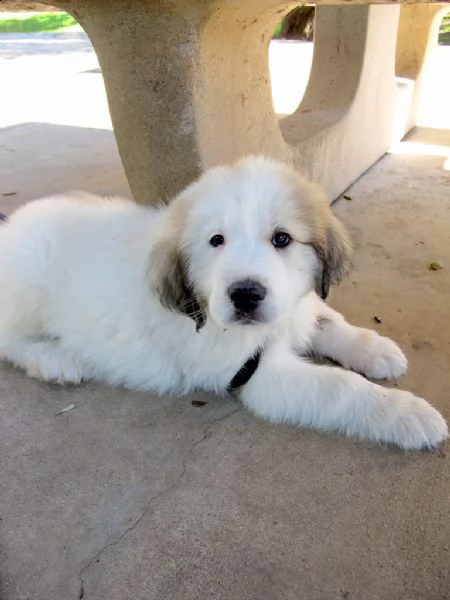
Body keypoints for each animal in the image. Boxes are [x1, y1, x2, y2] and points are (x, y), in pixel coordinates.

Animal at [0, 157, 446, 448]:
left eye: (282, 238)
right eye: (217, 240)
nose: (245, 294)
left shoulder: (294, 306)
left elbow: (327, 320)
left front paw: (376, 349)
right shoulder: (253, 375)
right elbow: (339, 388)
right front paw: (408, 414)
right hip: (27, 280)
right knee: (8, 338)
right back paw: (53, 360)